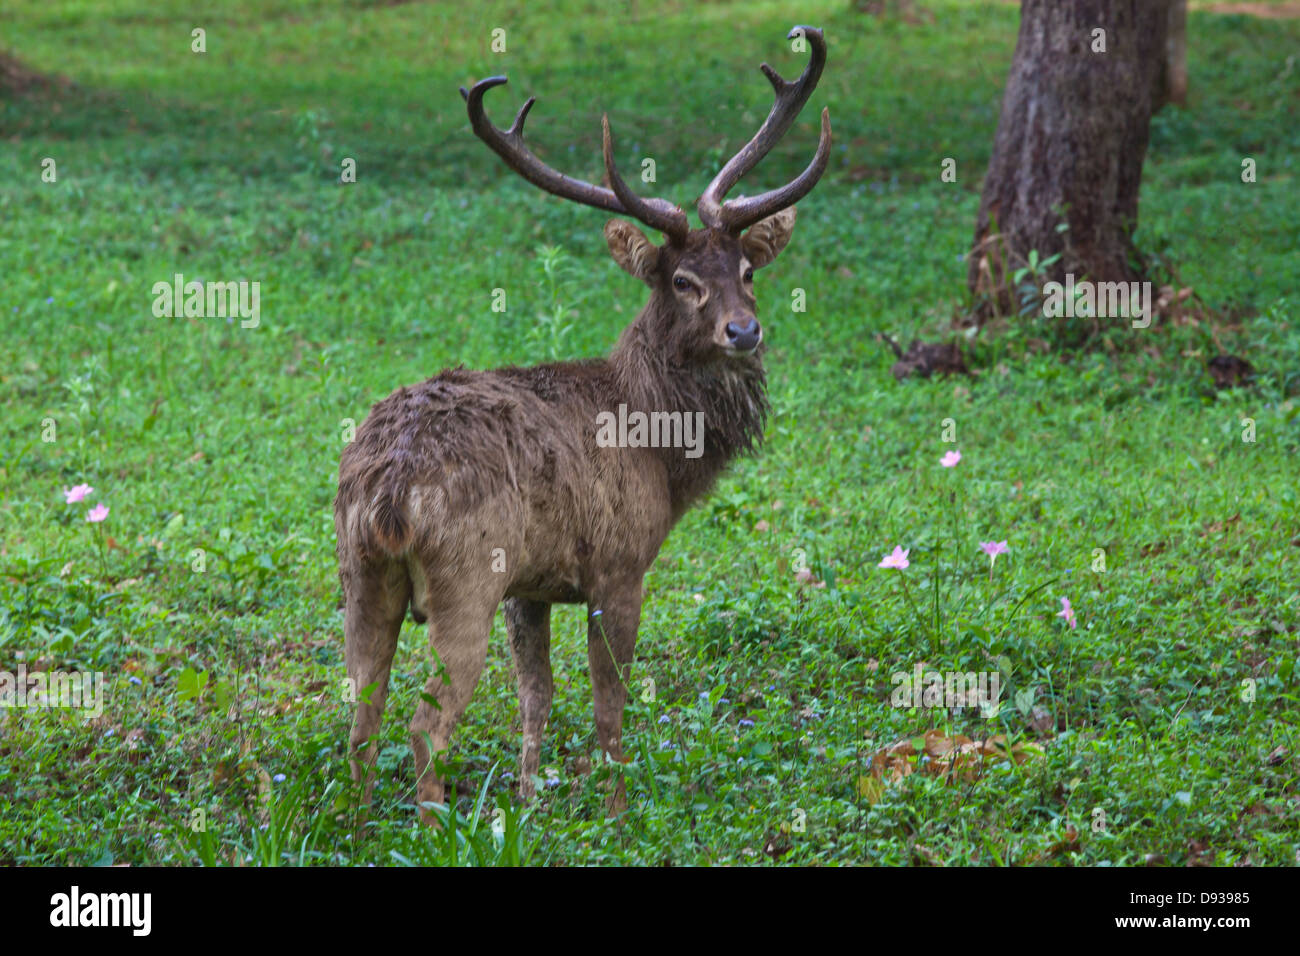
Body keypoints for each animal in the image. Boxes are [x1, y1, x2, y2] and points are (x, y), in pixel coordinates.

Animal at [335, 25, 830, 821]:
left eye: (748, 271)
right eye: (682, 281)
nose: (744, 331)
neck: (661, 452)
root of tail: (389, 489)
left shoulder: (532, 585)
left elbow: (537, 697)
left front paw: (530, 800)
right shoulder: (619, 563)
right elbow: (609, 706)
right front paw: (617, 809)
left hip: (360, 574)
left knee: (360, 712)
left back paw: (354, 821)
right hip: (464, 575)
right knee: (424, 721)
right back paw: (435, 820)